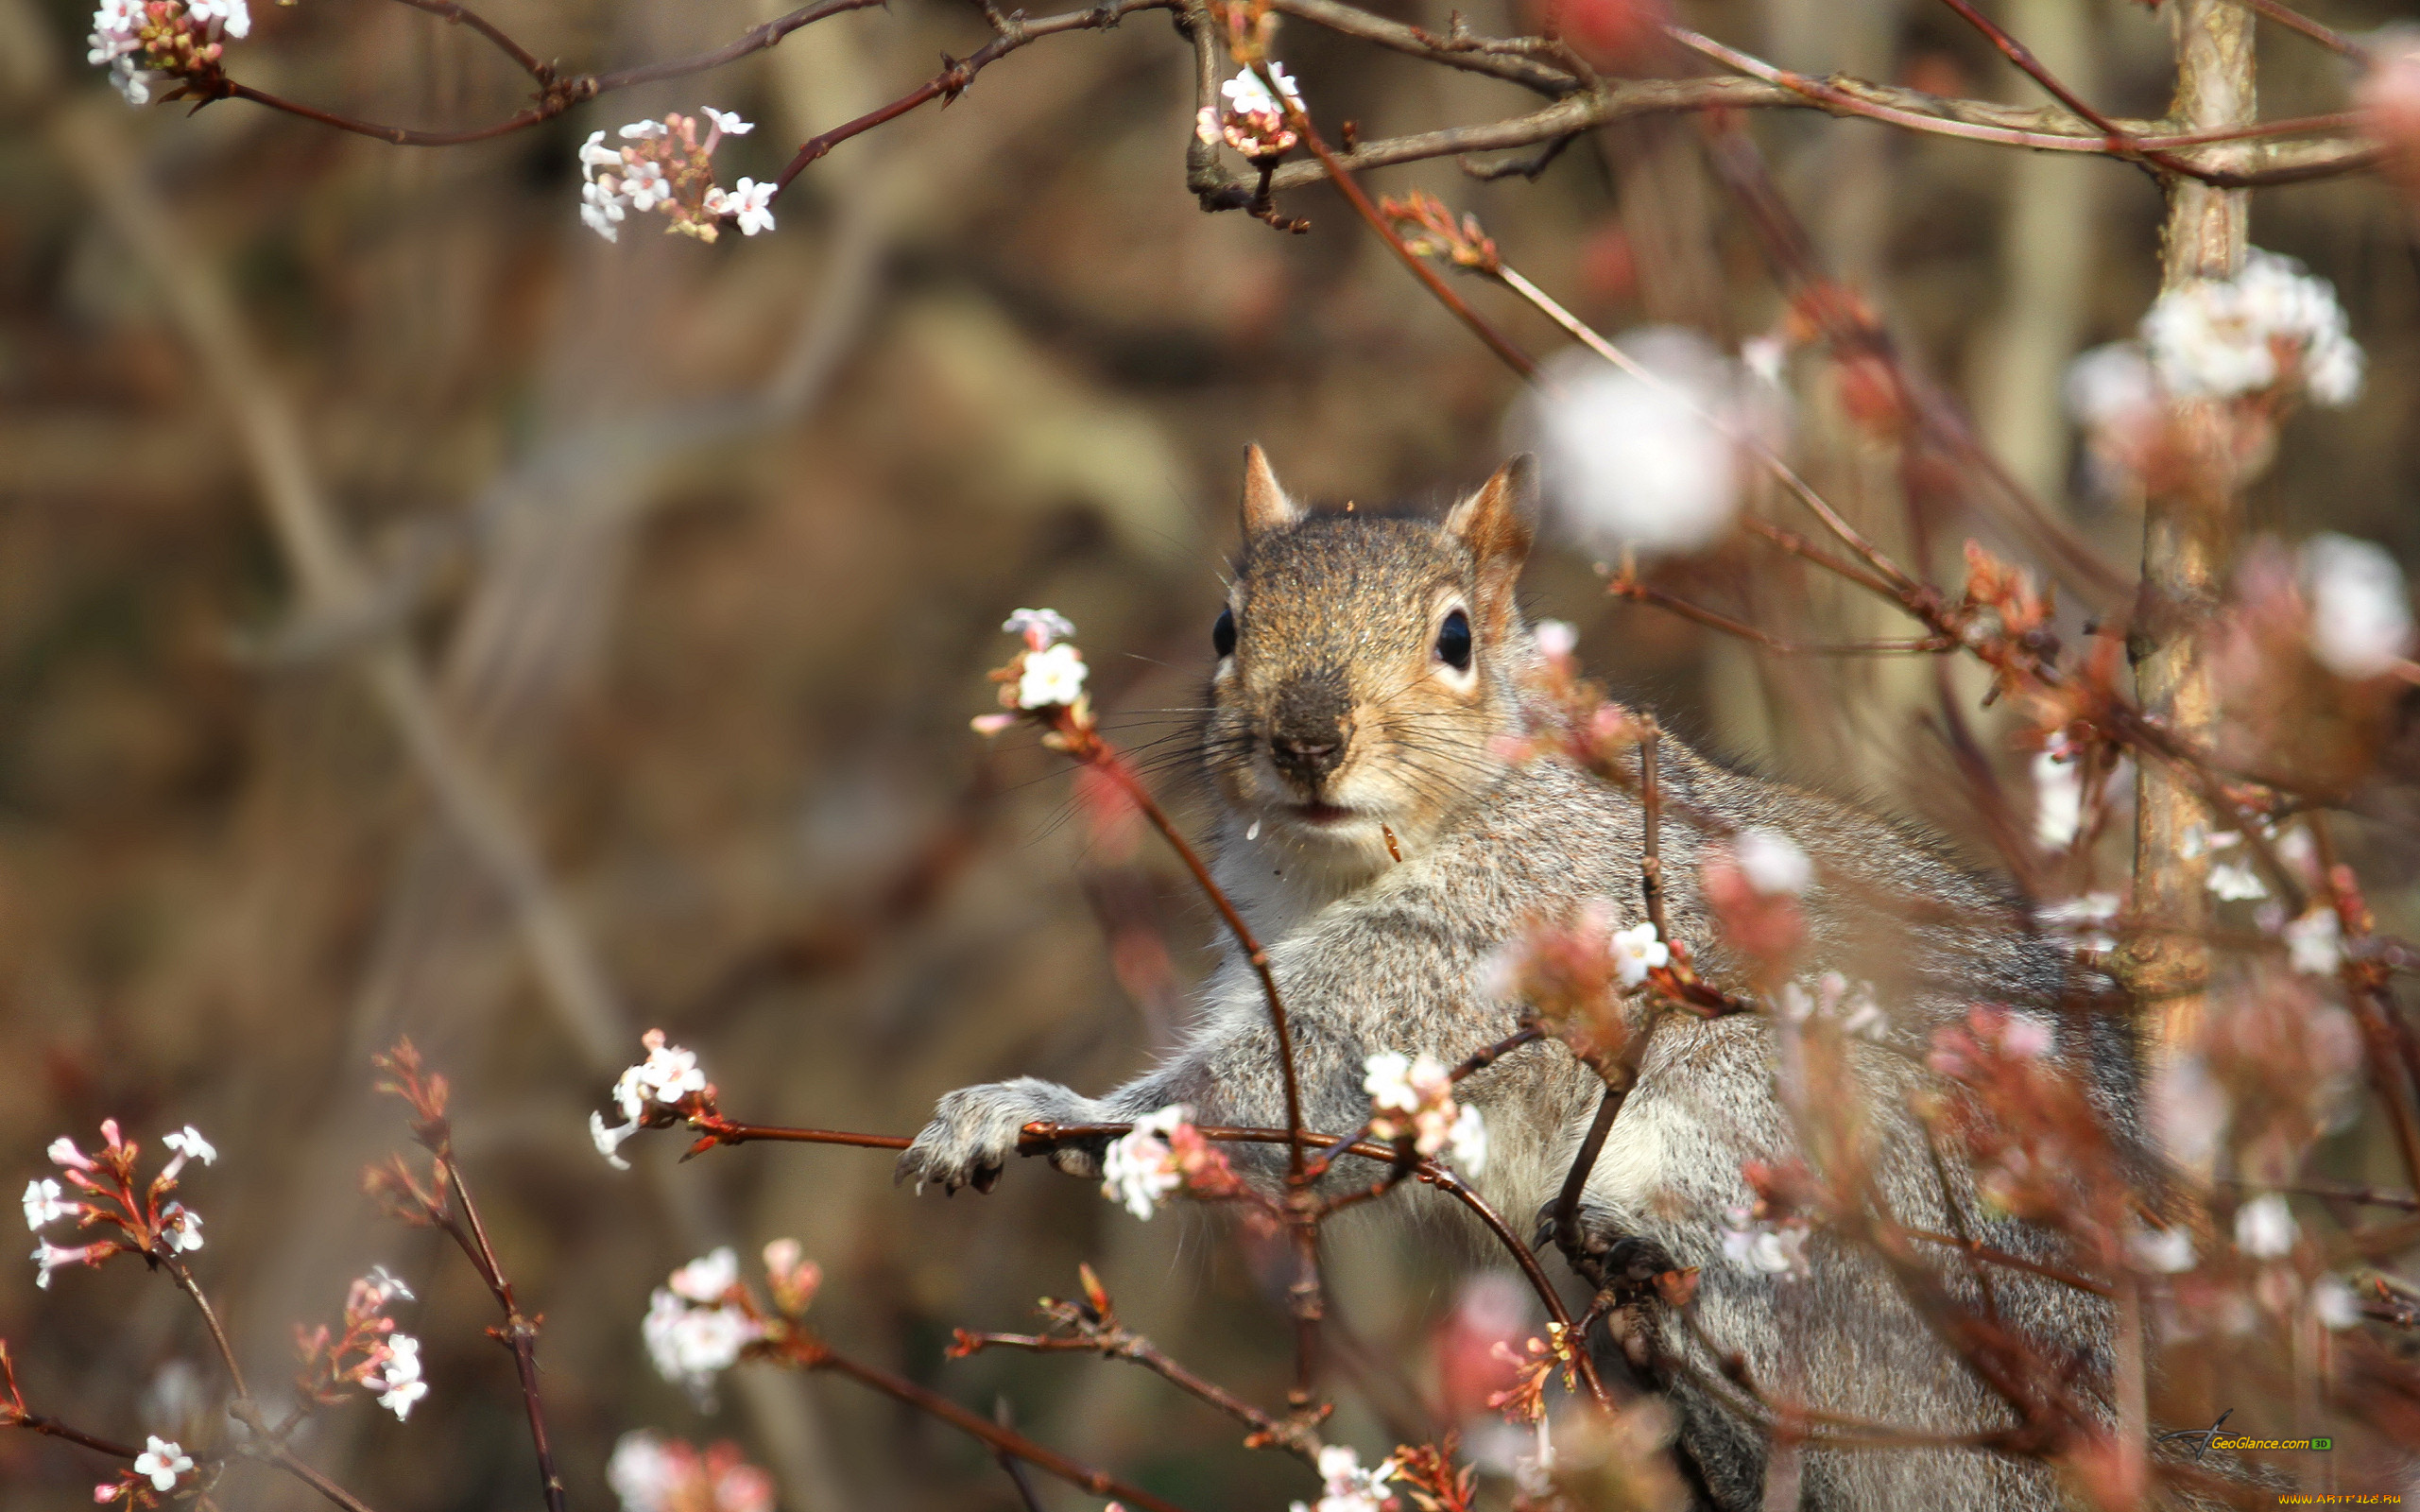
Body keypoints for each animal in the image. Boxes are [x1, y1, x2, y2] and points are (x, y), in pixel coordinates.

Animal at [904, 442, 2138, 1500]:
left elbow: (1264, 1084)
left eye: (1455, 640)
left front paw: (1036, 1110)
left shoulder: (1461, 949)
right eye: (1222, 628)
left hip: (1772, 1179)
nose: (1305, 739)